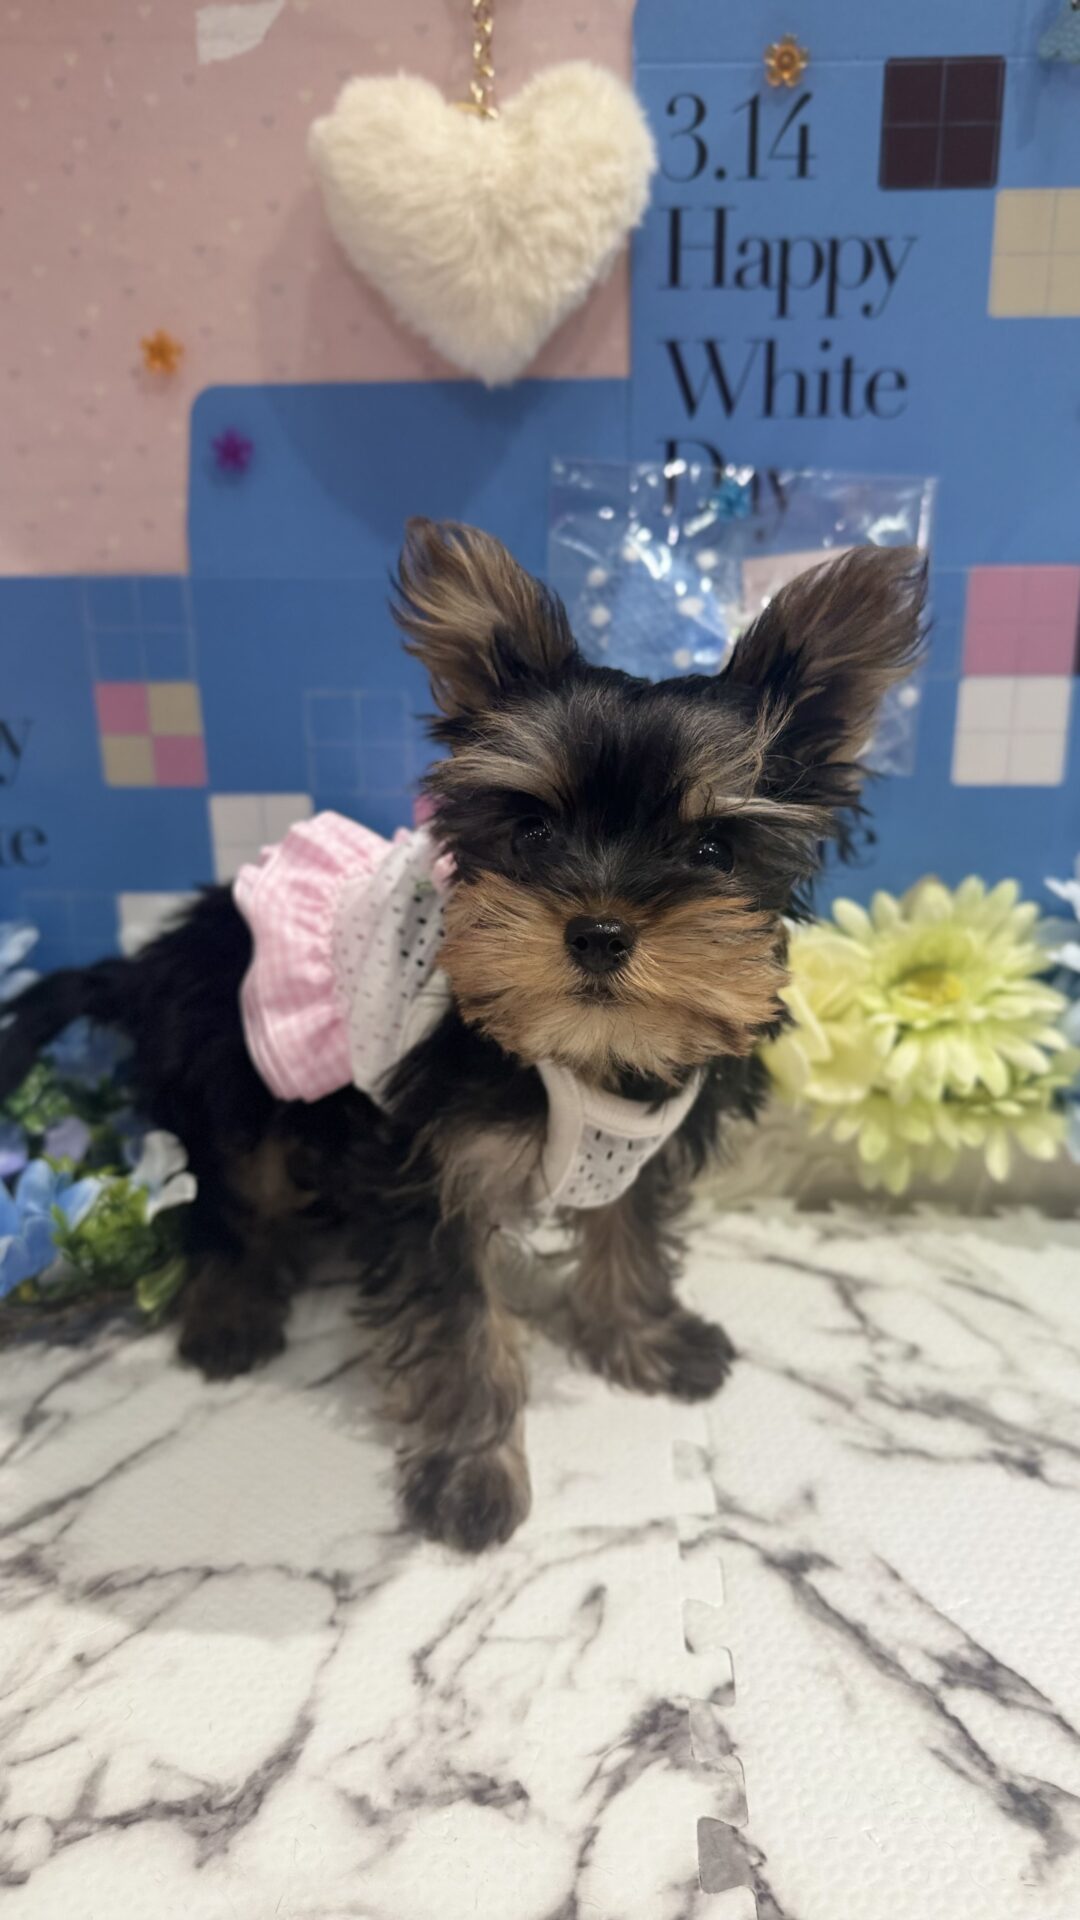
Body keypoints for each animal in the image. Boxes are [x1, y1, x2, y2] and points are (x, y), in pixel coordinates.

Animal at [0, 521, 925, 1551]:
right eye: (531, 833)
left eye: (713, 850)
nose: (600, 930)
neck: (576, 1049)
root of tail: (161, 952)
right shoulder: (427, 1165)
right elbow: (458, 1321)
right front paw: (470, 1474)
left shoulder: (635, 1145)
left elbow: (630, 1232)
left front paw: (643, 1336)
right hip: (230, 1068)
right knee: (222, 1191)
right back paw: (234, 1304)